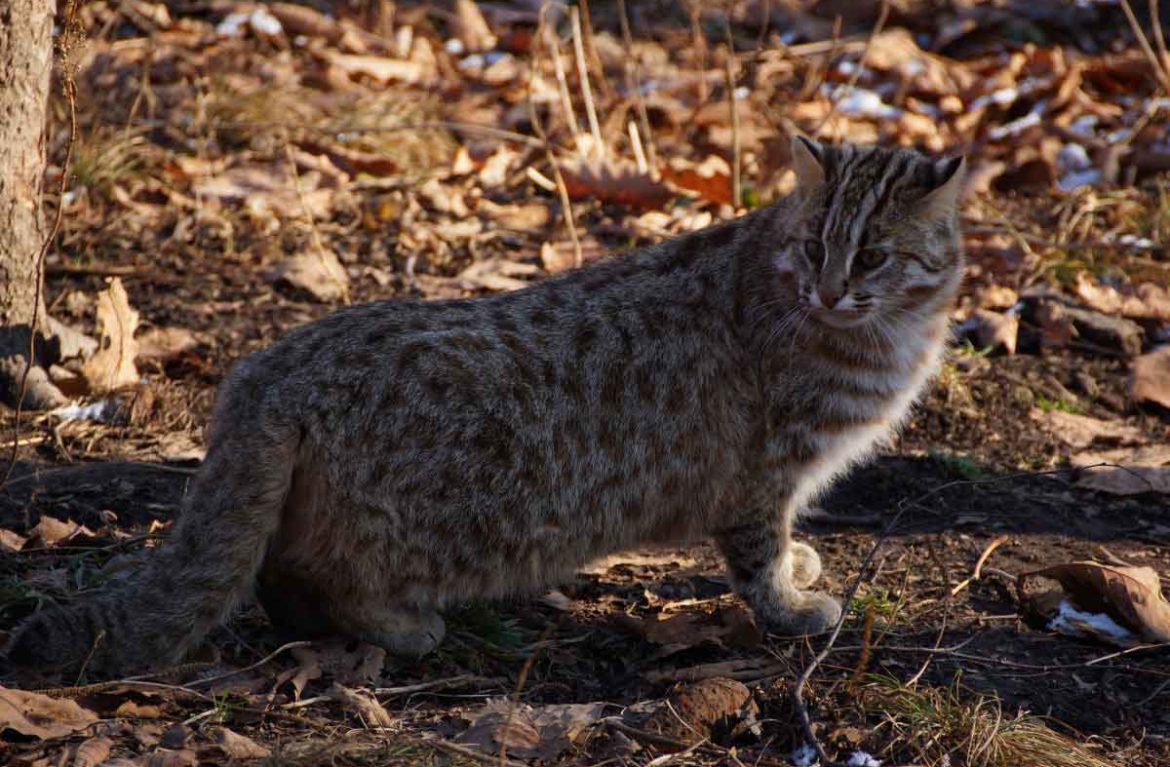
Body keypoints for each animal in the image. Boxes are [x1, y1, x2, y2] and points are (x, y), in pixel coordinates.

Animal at [4, 137, 964, 678]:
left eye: (871, 255)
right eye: (815, 244)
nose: (833, 289)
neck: (889, 332)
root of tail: (271, 366)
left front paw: (800, 565)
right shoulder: (761, 470)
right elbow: (757, 558)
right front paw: (792, 606)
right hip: (459, 510)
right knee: (304, 572)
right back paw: (398, 625)